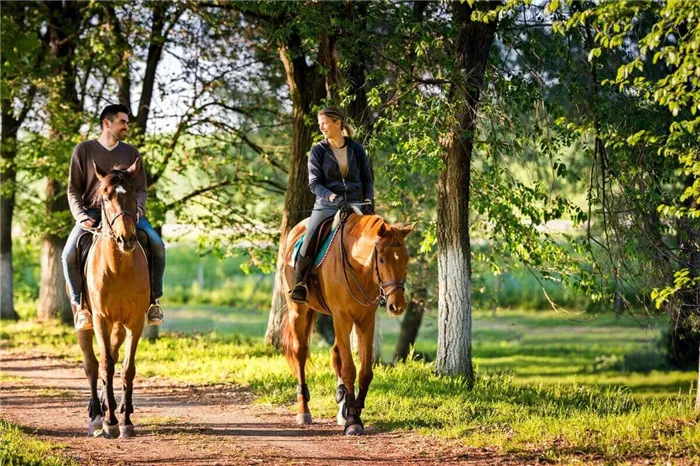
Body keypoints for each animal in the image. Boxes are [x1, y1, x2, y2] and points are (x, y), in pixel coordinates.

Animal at [76, 160, 150, 436]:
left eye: (132, 194)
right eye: (106, 198)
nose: (126, 238)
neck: (118, 267)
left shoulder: (135, 322)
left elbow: (127, 367)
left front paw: (126, 421)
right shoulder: (100, 320)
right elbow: (105, 364)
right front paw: (110, 422)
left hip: (119, 326)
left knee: (114, 357)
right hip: (85, 321)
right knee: (92, 364)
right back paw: (97, 414)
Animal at [280, 213, 410, 436]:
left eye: (406, 259)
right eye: (382, 259)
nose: (397, 305)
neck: (359, 267)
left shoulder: (366, 320)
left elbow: (365, 372)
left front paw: (353, 409)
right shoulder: (342, 317)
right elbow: (349, 369)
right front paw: (353, 421)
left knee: (335, 354)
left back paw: (342, 406)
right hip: (298, 311)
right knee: (300, 353)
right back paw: (304, 411)